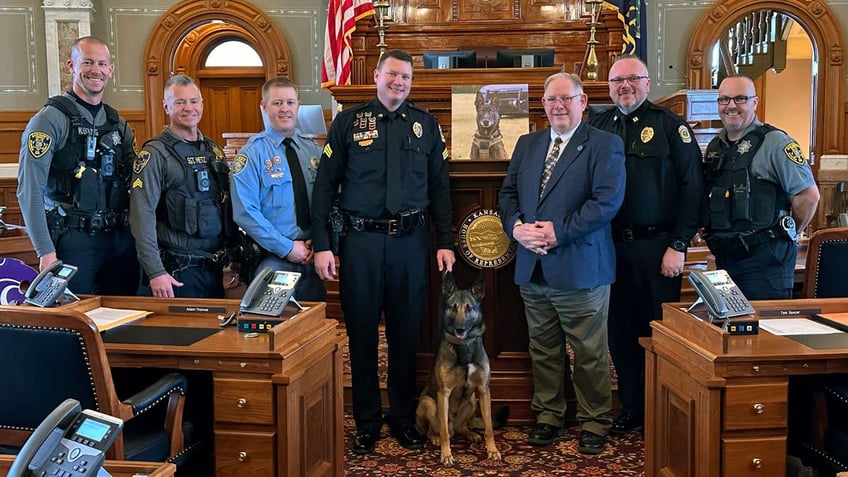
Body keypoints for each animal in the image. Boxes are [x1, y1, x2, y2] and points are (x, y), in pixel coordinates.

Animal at [414, 272, 500, 464]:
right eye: (453, 308)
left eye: (469, 308)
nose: (460, 329)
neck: (464, 346)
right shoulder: (443, 393)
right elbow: (445, 432)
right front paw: (446, 454)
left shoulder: (484, 390)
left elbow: (489, 427)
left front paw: (492, 450)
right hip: (429, 402)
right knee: (436, 430)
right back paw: (435, 438)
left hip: (472, 401)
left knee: (462, 427)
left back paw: (470, 433)